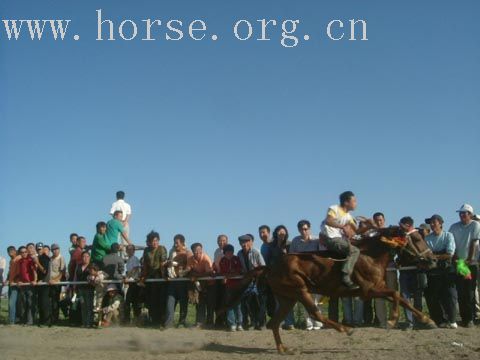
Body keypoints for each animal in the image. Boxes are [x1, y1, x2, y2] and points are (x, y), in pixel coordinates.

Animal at [223, 226, 436, 352]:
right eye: (417, 239)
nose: (433, 259)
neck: (371, 255)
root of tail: (271, 267)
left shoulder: (379, 287)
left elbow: (402, 298)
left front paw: (428, 319)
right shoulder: (368, 290)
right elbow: (396, 294)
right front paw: (392, 320)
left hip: (287, 298)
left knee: (274, 322)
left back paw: (283, 348)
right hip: (300, 290)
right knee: (315, 313)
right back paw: (345, 328)